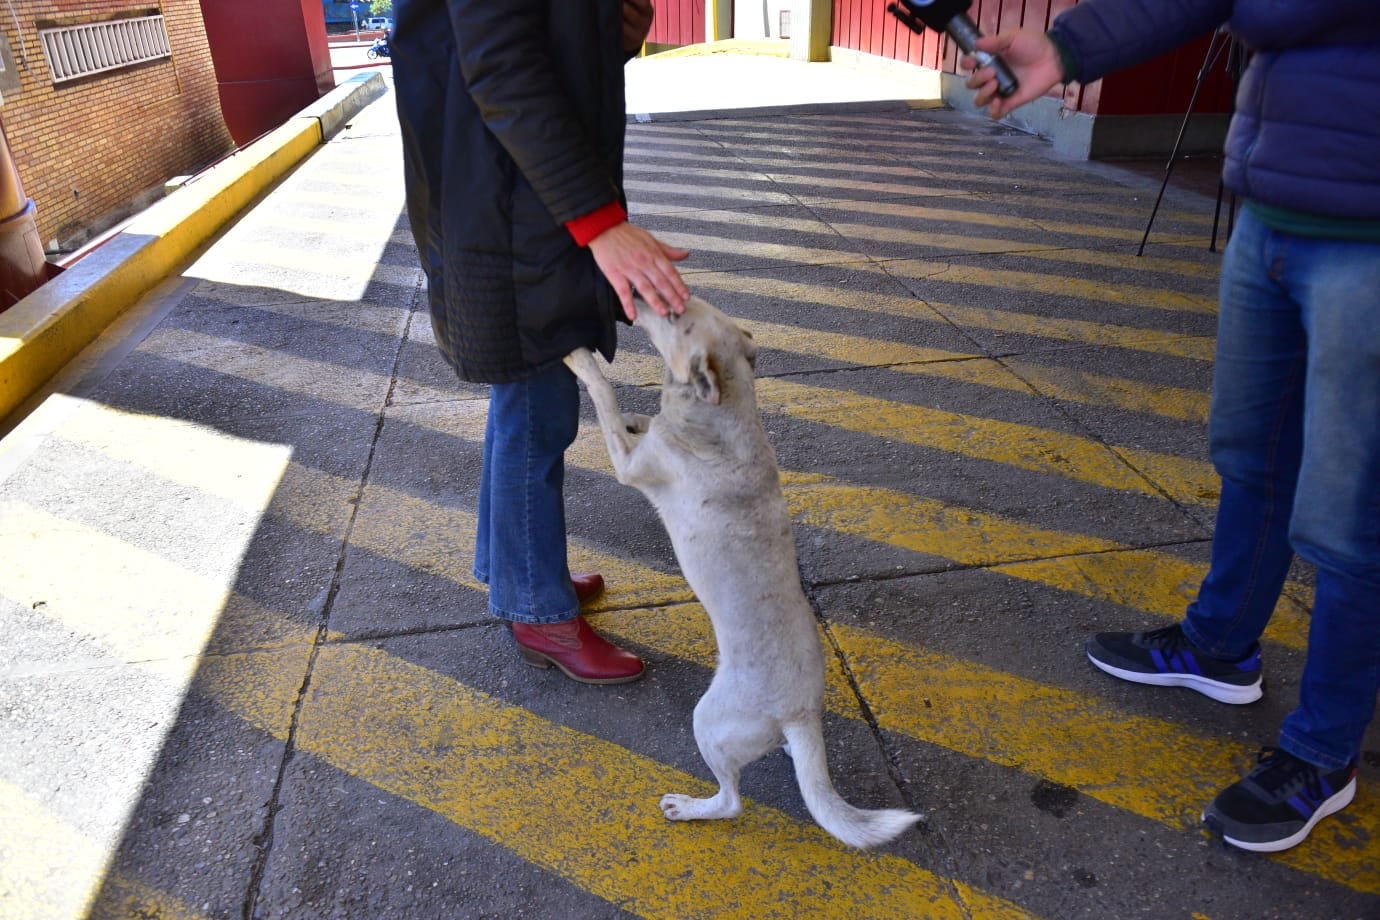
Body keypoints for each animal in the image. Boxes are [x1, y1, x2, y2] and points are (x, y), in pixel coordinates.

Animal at [565, 295, 921, 849]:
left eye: (675, 314)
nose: (635, 298)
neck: (723, 408)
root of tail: (800, 715)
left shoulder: (631, 464)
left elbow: (604, 397)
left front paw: (582, 361)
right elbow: (632, 415)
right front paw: (637, 414)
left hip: (709, 719)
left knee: (731, 800)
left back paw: (689, 807)